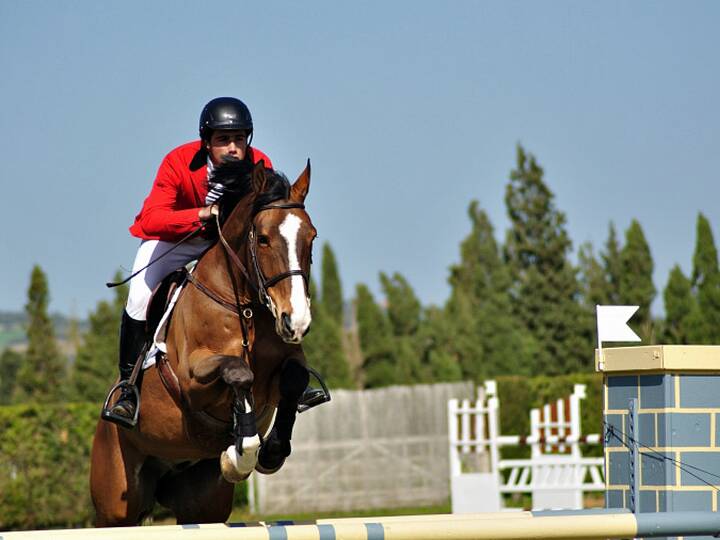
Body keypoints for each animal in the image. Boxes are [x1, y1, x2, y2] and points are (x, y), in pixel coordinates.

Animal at [89, 158, 316, 524]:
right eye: (263, 239)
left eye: (311, 237)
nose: (295, 321)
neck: (245, 306)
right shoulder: (193, 380)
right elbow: (239, 372)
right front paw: (241, 452)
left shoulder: (286, 364)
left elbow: (293, 378)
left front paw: (269, 450)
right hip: (116, 503)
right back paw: (124, 404)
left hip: (202, 504)